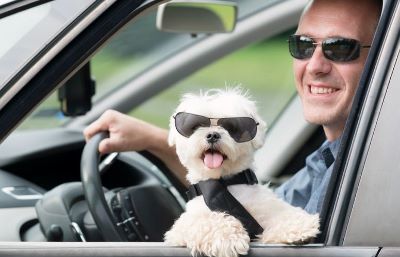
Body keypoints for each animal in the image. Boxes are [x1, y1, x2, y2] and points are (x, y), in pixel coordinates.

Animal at [165, 87, 318, 256]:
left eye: (232, 127)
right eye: (196, 125)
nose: (212, 135)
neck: (225, 182)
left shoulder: (265, 207)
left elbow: (280, 213)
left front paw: (296, 227)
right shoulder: (182, 227)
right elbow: (206, 220)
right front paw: (227, 237)